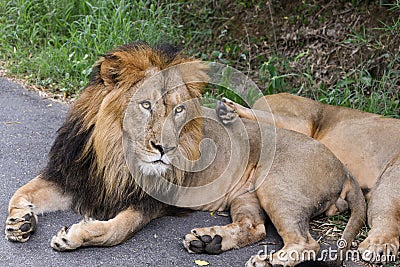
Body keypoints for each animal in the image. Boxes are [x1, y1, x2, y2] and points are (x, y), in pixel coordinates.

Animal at [4, 43, 366, 266]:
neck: (115, 154)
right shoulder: (70, 177)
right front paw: (20, 222)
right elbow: (21, 191)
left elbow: (117, 229)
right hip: (247, 196)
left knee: (306, 243)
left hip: (277, 187)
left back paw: (264, 260)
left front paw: (75, 235)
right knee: (254, 228)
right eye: (146, 105)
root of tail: (344, 168)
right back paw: (209, 241)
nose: (166, 149)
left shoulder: (153, 201)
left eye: (178, 110)